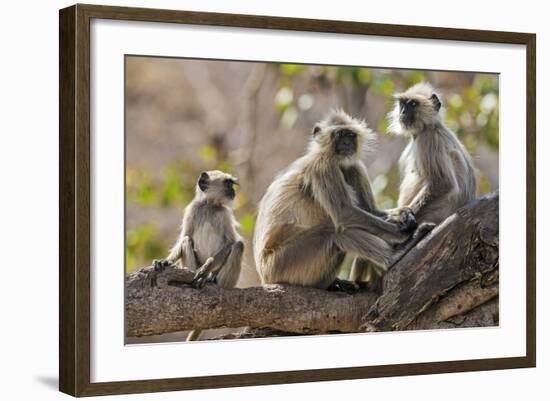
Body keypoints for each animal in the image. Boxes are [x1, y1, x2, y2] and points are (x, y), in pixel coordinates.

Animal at [154, 168, 243, 338]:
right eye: (228, 183)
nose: (234, 191)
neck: (209, 205)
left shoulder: (224, 214)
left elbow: (231, 243)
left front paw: (205, 270)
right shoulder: (192, 209)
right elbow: (185, 236)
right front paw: (165, 261)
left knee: (239, 246)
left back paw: (212, 281)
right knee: (186, 240)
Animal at [254, 109, 436, 290]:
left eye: (350, 135)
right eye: (339, 134)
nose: (347, 143)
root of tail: (264, 277)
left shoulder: (353, 166)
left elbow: (369, 210)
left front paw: (403, 214)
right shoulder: (322, 165)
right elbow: (344, 213)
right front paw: (403, 231)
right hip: (282, 264)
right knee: (334, 231)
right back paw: (395, 254)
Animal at [354, 82, 478, 288]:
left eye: (413, 104)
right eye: (403, 104)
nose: (404, 111)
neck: (427, 128)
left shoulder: (430, 139)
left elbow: (442, 183)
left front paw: (405, 219)